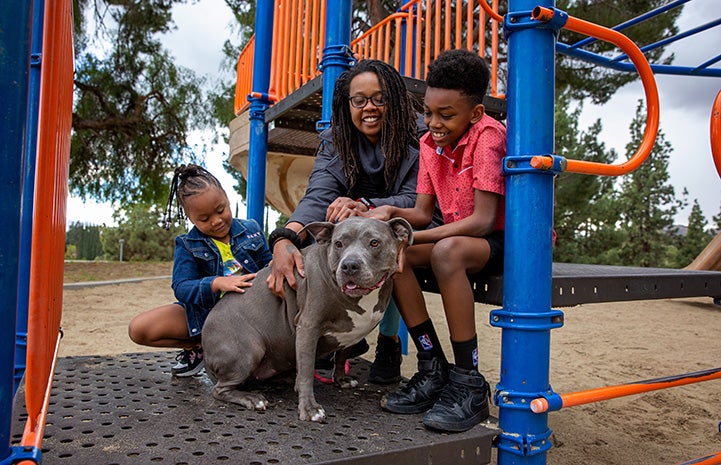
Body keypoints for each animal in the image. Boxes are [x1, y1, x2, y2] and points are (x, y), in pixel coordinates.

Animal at [205, 217, 414, 420]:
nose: (349, 265)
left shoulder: (351, 332)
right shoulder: (308, 328)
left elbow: (342, 356)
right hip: (251, 349)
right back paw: (252, 398)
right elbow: (306, 371)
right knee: (219, 390)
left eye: (374, 242)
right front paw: (309, 409)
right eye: (338, 243)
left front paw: (341, 379)